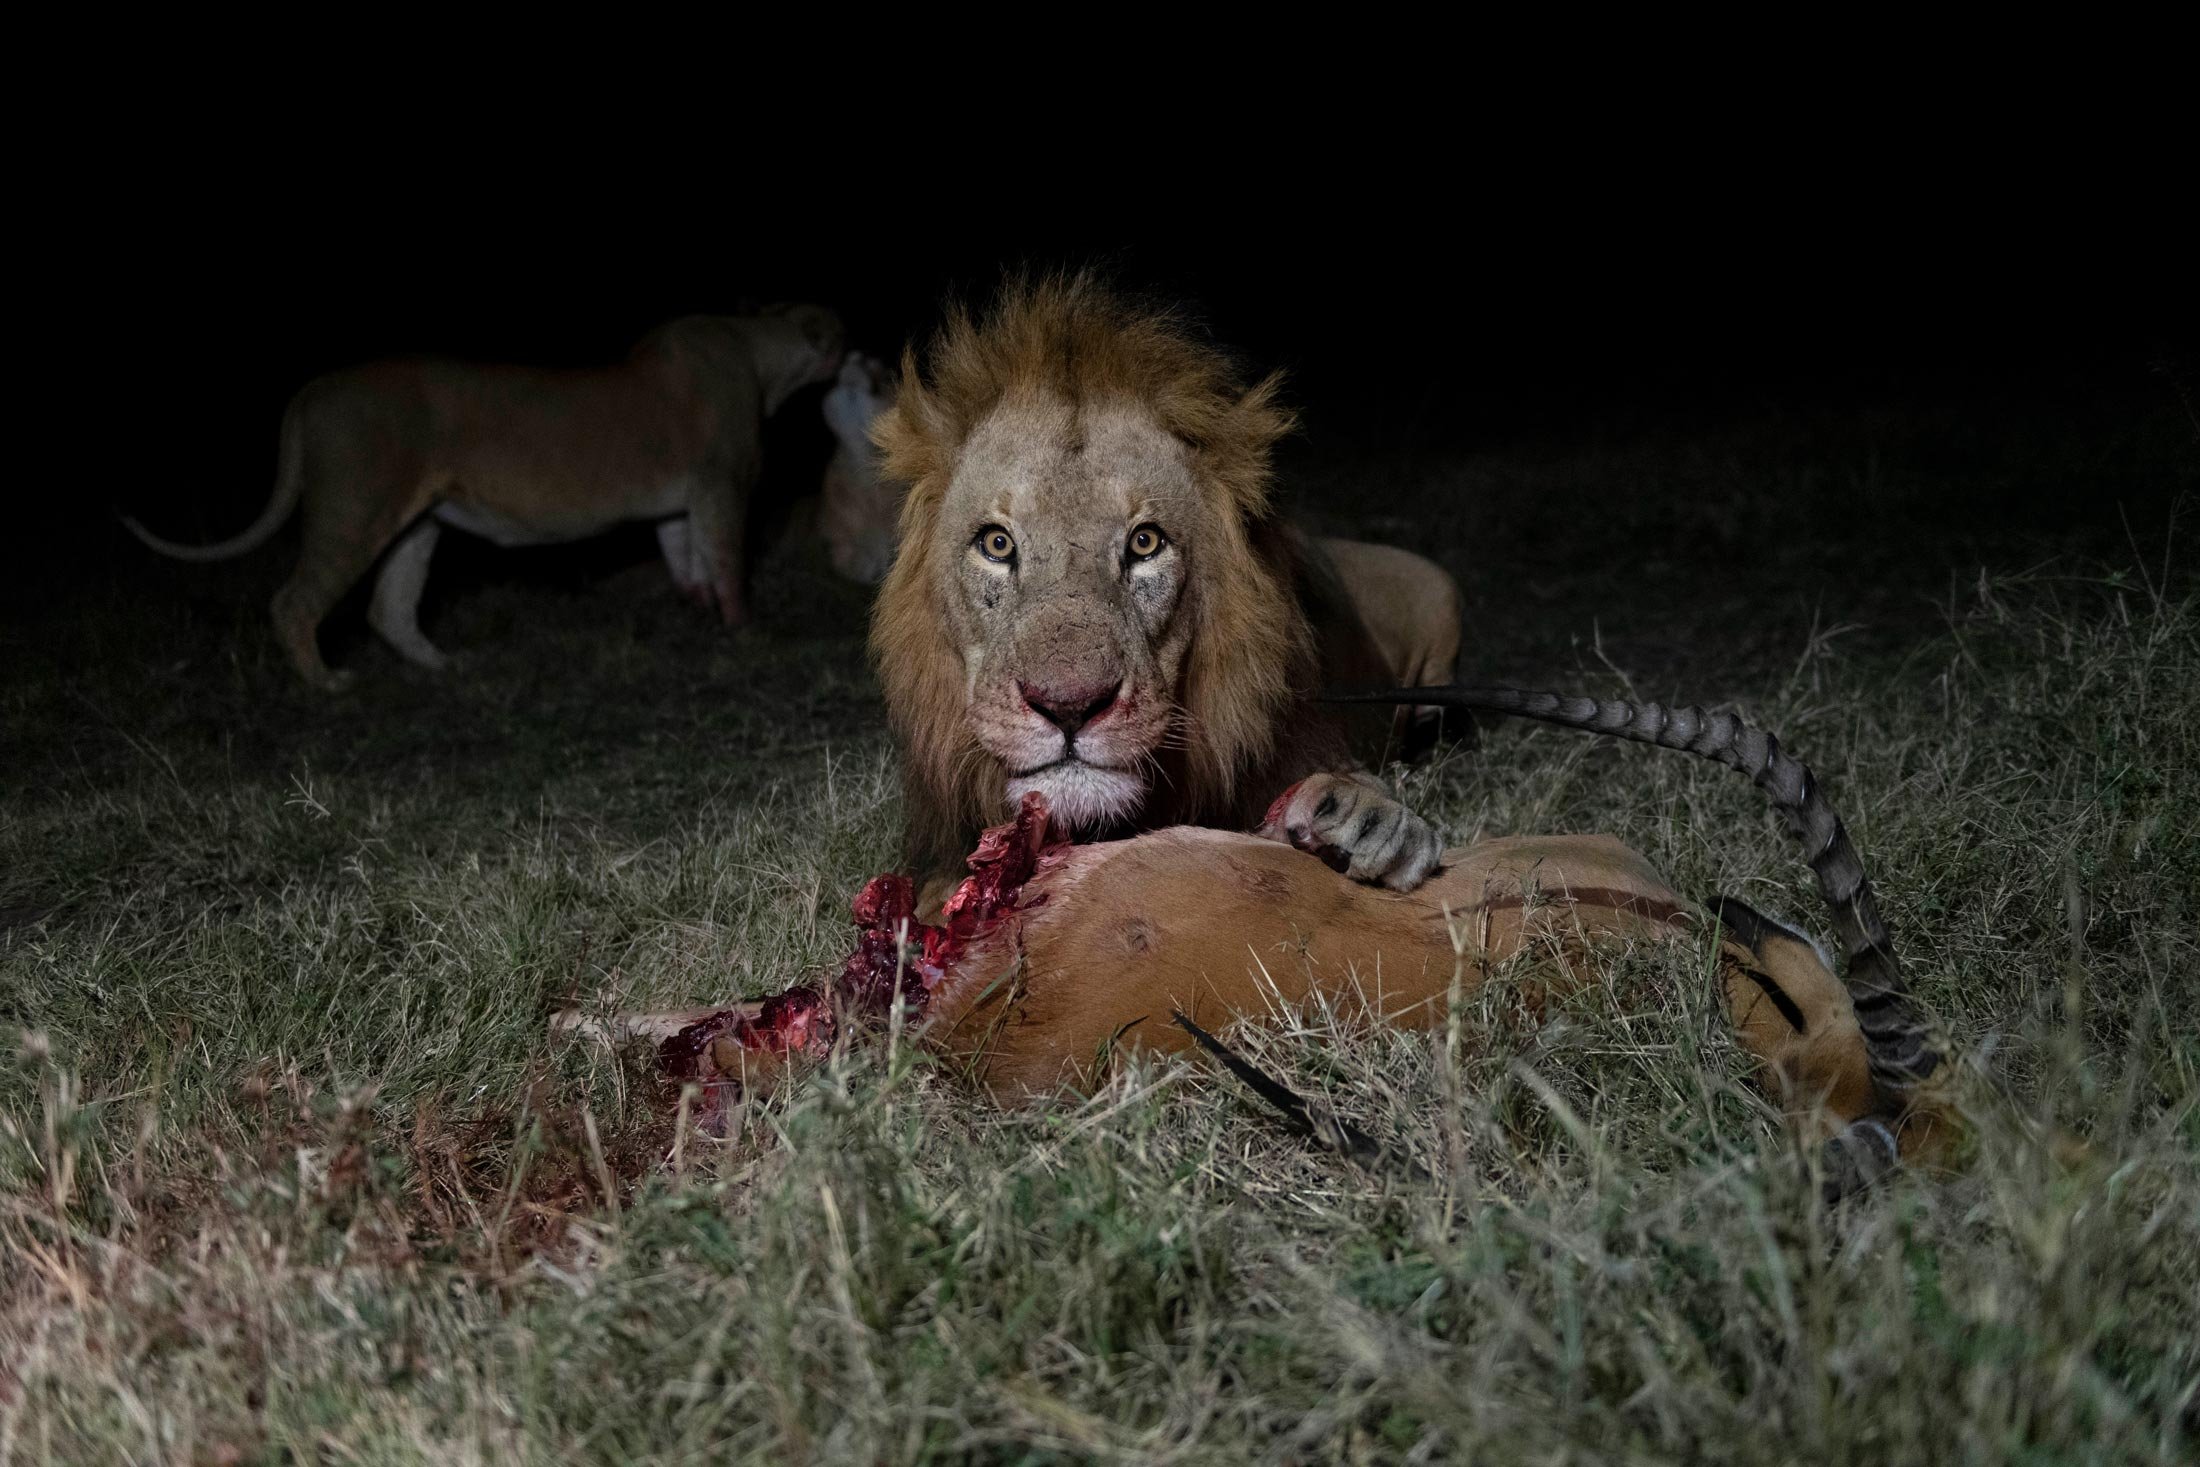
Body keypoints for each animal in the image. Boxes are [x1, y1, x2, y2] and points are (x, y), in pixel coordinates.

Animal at [123, 305, 846, 689]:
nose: (854, 342)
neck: (755, 342)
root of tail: (308, 393)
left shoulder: (679, 500)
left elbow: (683, 553)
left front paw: (698, 609)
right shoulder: (723, 480)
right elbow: (726, 557)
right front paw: (745, 629)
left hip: (418, 522)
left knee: (389, 608)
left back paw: (445, 665)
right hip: (355, 506)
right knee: (295, 601)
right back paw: (326, 681)